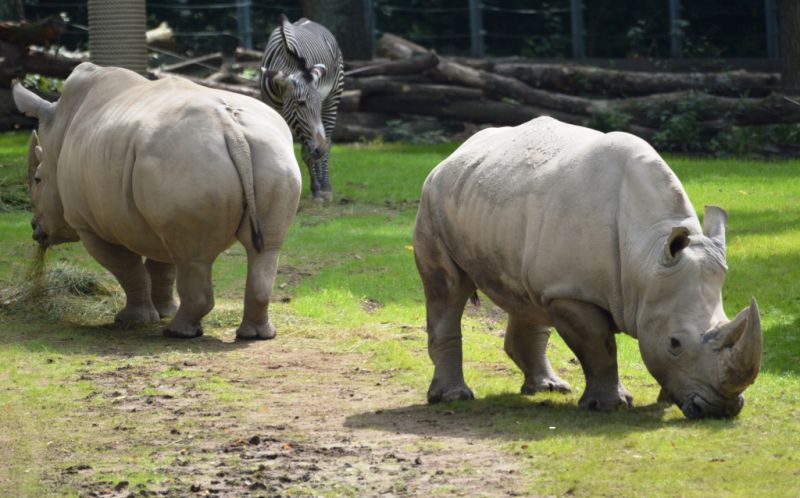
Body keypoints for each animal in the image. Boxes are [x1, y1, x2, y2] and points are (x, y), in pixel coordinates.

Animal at [260, 15, 340, 202]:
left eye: (317, 104)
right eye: (301, 103)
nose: (319, 149)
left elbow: (306, 153)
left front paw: (316, 189)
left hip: (333, 97)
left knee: (328, 140)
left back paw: (325, 187)